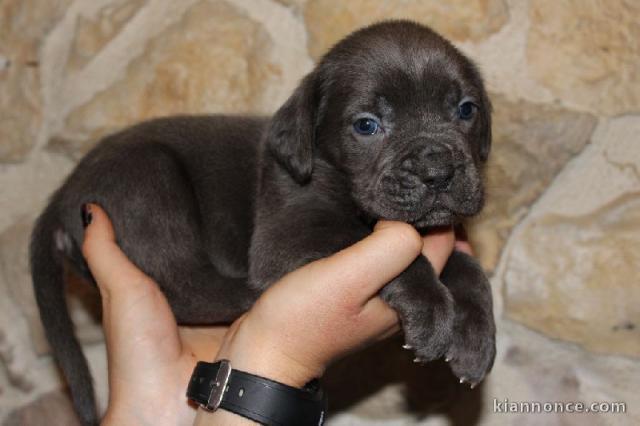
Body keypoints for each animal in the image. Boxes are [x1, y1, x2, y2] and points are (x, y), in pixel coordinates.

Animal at [32, 20, 498, 426]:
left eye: (466, 110)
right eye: (366, 125)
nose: (437, 171)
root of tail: (62, 194)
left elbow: (469, 269)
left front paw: (476, 338)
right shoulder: (289, 236)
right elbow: (380, 246)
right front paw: (430, 307)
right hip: (150, 181)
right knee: (185, 288)